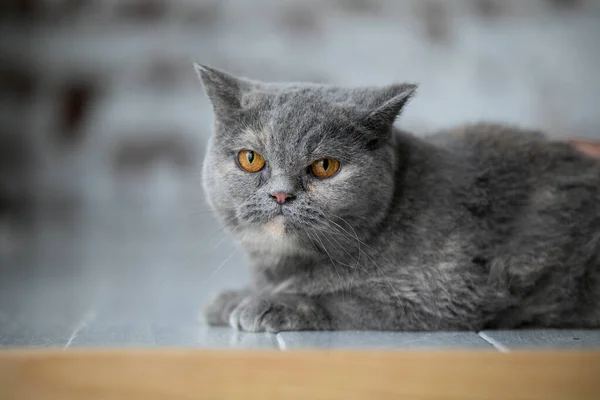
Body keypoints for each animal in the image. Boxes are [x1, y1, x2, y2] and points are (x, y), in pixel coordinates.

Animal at [196, 65, 600, 332]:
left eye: (325, 166)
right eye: (251, 159)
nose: (281, 193)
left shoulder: (449, 291)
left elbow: (345, 299)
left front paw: (268, 303)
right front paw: (233, 297)